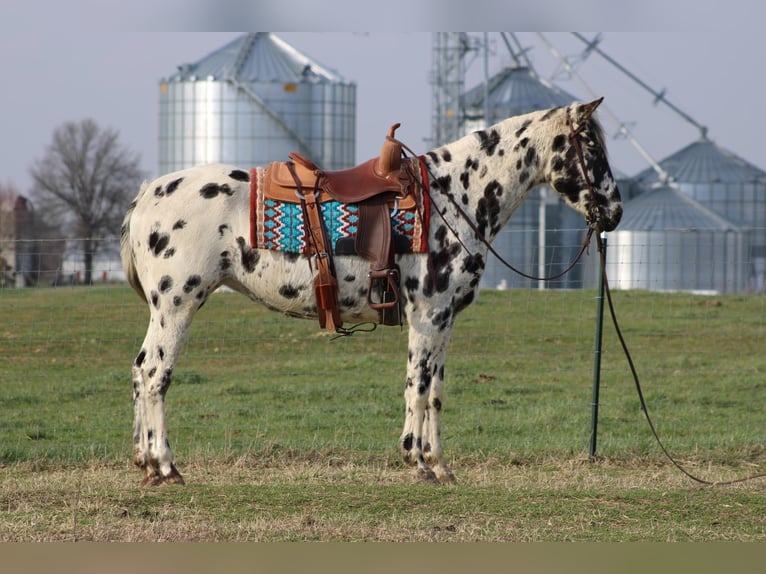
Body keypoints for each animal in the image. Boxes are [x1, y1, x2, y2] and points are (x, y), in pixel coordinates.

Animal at [120, 99, 624, 486]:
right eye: (591, 144)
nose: (615, 211)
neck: (456, 196)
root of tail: (146, 194)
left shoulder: (445, 319)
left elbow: (436, 390)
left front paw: (441, 466)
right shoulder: (428, 314)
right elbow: (417, 386)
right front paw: (418, 463)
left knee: (141, 370)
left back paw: (145, 464)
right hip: (177, 305)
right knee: (156, 374)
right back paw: (165, 467)